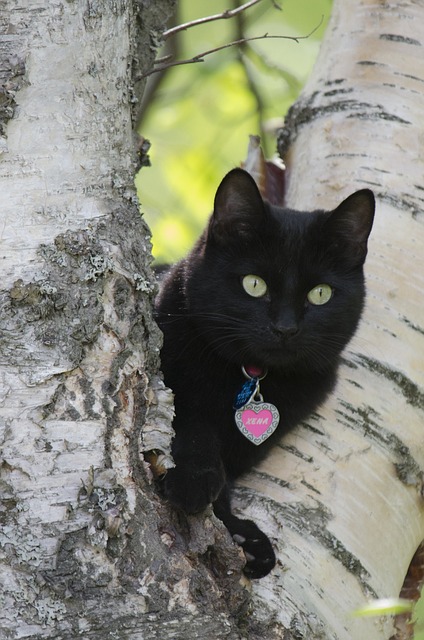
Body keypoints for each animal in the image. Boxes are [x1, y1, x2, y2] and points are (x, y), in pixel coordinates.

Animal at [155, 168, 374, 576]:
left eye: (320, 293)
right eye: (254, 284)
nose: (286, 328)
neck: (249, 375)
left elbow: (226, 476)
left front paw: (242, 537)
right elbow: (191, 424)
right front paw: (194, 481)